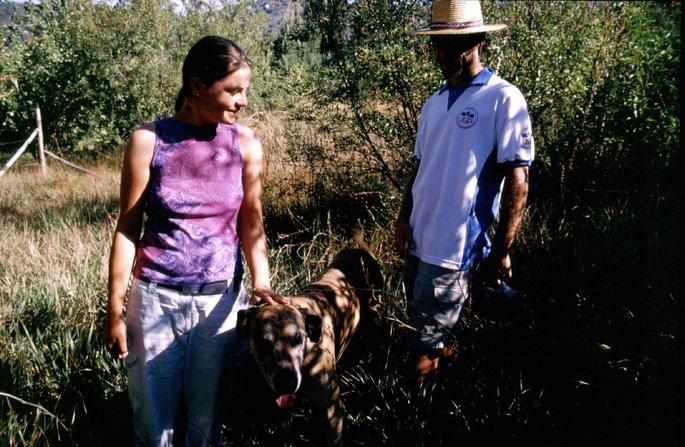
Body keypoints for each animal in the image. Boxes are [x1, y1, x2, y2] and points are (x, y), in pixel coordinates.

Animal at [236, 250, 382, 446]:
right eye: (264, 342)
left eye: (298, 338)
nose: (286, 382)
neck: (306, 358)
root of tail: (360, 249)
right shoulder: (282, 409)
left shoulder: (332, 411)